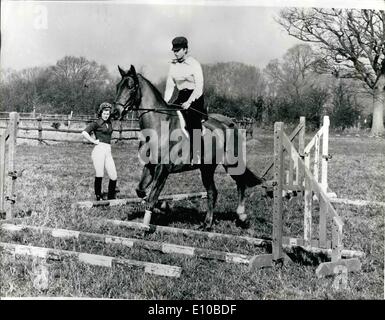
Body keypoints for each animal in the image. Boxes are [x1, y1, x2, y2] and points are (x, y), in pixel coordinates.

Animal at [111, 65, 260, 230]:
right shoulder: (150, 166)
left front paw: (147, 224)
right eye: (118, 86)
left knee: (240, 183)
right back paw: (207, 224)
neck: (158, 126)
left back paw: (242, 216)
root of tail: (229, 124)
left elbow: (151, 197)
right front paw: (165, 206)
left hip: (230, 163)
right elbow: (141, 191)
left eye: (131, 87)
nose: (115, 113)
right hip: (206, 168)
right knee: (212, 192)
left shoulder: (163, 169)